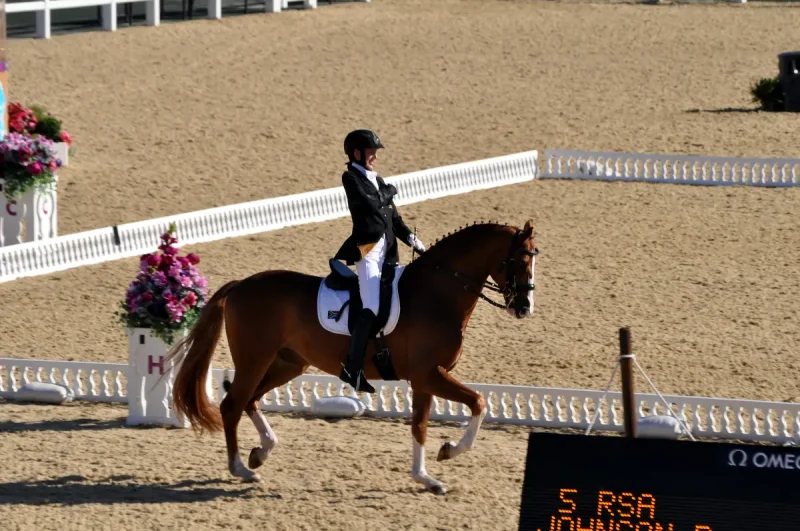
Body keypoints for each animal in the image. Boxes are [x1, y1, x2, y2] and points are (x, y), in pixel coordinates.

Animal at [169, 218, 544, 496]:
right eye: (518, 261)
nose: (525, 308)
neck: (437, 294)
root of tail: (241, 285)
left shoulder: (424, 379)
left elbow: (420, 426)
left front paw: (426, 477)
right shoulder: (429, 374)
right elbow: (478, 402)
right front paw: (449, 451)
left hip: (288, 363)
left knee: (251, 401)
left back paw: (261, 452)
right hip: (255, 360)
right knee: (233, 405)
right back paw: (241, 470)